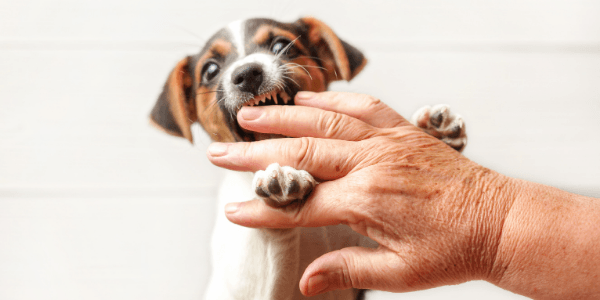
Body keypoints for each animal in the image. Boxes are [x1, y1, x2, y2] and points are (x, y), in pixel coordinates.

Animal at [150, 15, 468, 300]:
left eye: (280, 45)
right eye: (211, 70)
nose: (248, 73)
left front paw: (431, 133)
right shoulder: (257, 286)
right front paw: (279, 182)